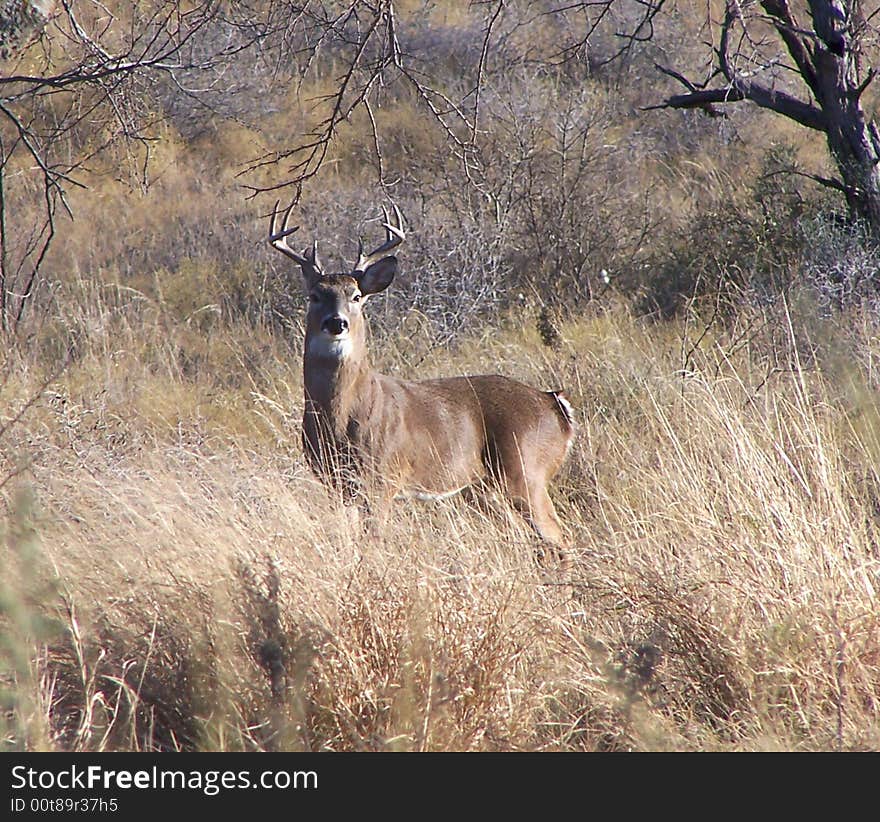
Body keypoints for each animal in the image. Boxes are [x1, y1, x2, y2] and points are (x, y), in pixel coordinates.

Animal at [268, 203, 576, 556]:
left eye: (357, 295)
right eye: (315, 295)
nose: (337, 322)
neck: (342, 418)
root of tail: (555, 404)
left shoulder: (382, 479)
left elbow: (373, 543)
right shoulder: (336, 484)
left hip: (527, 472)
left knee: (561, 538)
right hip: (482, 488)